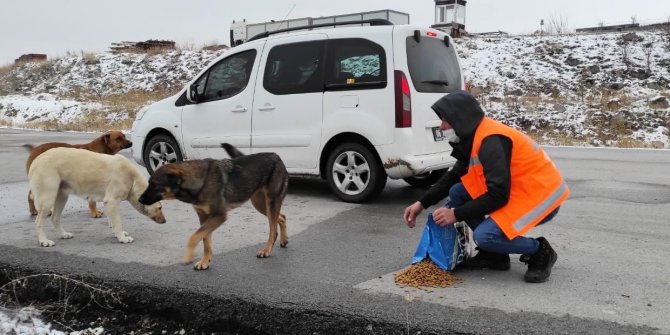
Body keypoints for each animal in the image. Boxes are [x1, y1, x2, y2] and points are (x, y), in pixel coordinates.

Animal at [29, 148, 167, 248]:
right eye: (159, 207)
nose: (165, 221)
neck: (132, 178)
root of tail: (36, 160)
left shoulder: (109, 204)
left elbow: (113, 222)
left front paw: (118, 234)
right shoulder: (112, 201)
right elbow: (118, 222)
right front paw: (122, 238)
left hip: (61, 197)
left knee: (55, 218)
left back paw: (63, 234)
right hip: (48, 199)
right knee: (38, 222)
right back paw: (44, 241)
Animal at [139, 143, 288, 272]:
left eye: (155, 185)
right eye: (150, 183)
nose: (139, 199)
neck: (200, 181)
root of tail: (276, 156)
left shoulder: (218, 216)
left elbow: (194, 237)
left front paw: (188, 256)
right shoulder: (205, 218)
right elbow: (205, 241)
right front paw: (205, 262)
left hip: (270, 203)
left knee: (273, 229)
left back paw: (267, 250)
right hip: (261, 204)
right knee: (281, 217)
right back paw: (284, 240)